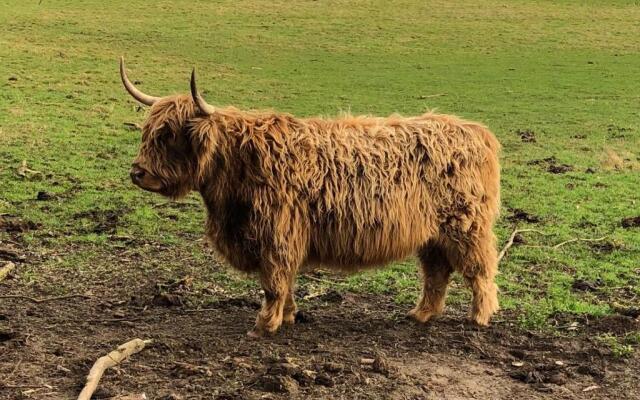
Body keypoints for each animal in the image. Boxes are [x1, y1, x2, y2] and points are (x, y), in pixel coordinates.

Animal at [119, 57, 500, 338]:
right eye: (147, 131)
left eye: (168, 135)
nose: (137, 173)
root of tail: (476, 131)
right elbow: (285, 283)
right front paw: (287, 317)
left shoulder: (276, 236)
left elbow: (274, 282)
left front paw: (264, 325)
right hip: (432, 235)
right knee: (437, 273)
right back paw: (420, 314)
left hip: (465, 227)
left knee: (479, 270)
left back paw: (478, 318)